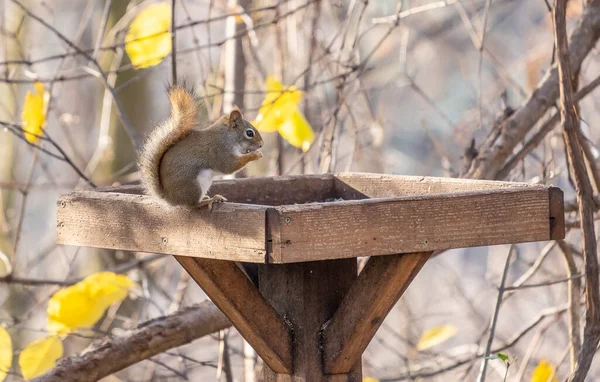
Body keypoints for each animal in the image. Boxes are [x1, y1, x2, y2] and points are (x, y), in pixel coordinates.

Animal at [141, 82, 264, 212]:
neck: (227, 137)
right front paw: (255, 155)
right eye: (249, 133)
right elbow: (230, 166)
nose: (261, 144)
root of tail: (169, 198)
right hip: (193, 186)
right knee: (191, 205)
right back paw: (209, 200)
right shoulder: (220, 151)